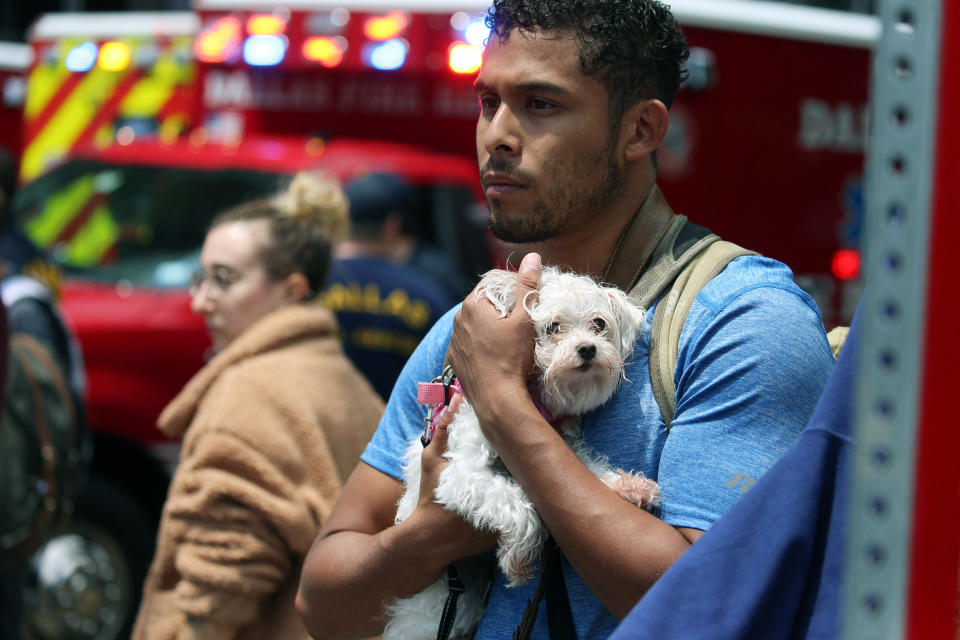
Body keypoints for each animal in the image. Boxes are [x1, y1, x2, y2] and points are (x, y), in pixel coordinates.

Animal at [382, 264, 660, 640]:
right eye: (553, 327)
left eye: (599, 324)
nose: (588, 349)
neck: (536, 401)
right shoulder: (459, 475)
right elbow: (517, 504)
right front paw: (519, 556)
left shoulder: (562, 446)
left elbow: (589, 467)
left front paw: (628, 485)